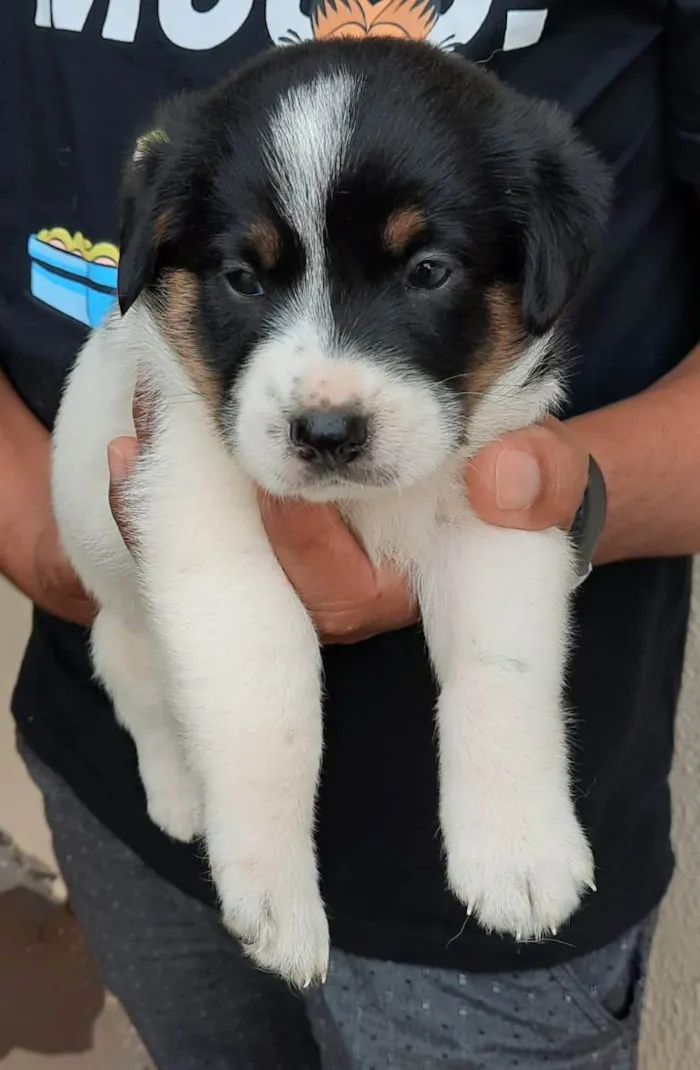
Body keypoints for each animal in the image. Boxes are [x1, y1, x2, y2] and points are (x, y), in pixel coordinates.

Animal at [52, 37, 616, 984]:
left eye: (428, 271)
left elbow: (501, 670)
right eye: (242, 279)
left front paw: (518, 847)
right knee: (138, 688)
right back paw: (178, 792)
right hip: (123, 615)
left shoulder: (502, 504)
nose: (325, 433)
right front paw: (272, 893)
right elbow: (272, 702)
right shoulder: (202, 525)